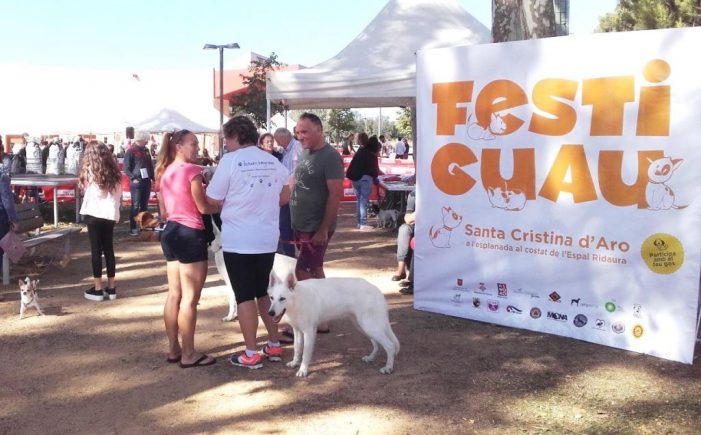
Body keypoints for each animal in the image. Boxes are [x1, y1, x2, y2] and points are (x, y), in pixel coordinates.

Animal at [266, 272, 400, 378]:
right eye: (271, 298)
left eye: (282, 299)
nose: (270, 313)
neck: (297, 300)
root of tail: (376, 289)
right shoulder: (297, 331)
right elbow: (297, 349)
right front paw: (294, 363)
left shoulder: (309, 332)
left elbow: (305, 353)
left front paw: (303, 370)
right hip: (362, 326)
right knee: (377, 344)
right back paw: (371, 358)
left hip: (369, 326)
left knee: (390, 346)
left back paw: (388, 367)